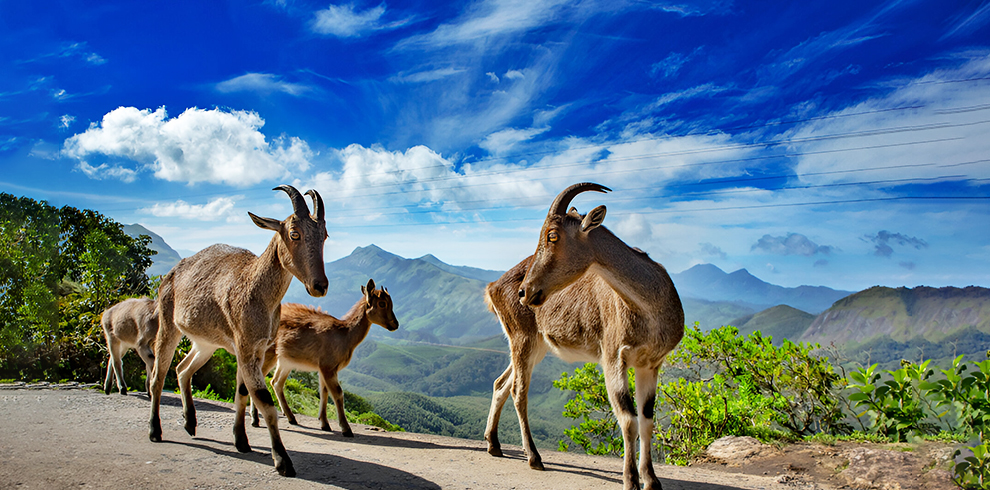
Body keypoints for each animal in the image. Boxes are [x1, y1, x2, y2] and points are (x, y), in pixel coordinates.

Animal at [252, 280, 400, 436]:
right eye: (382, 303)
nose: (395, 324)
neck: (345, 335)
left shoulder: (323, 367)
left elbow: (324, 393)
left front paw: (325, 424)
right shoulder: (328, 366)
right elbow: (337, 393)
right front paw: (346, 428)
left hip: (285, 361)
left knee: (276, 382)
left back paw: (291, 418)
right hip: (268, 354)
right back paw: (255, 419)